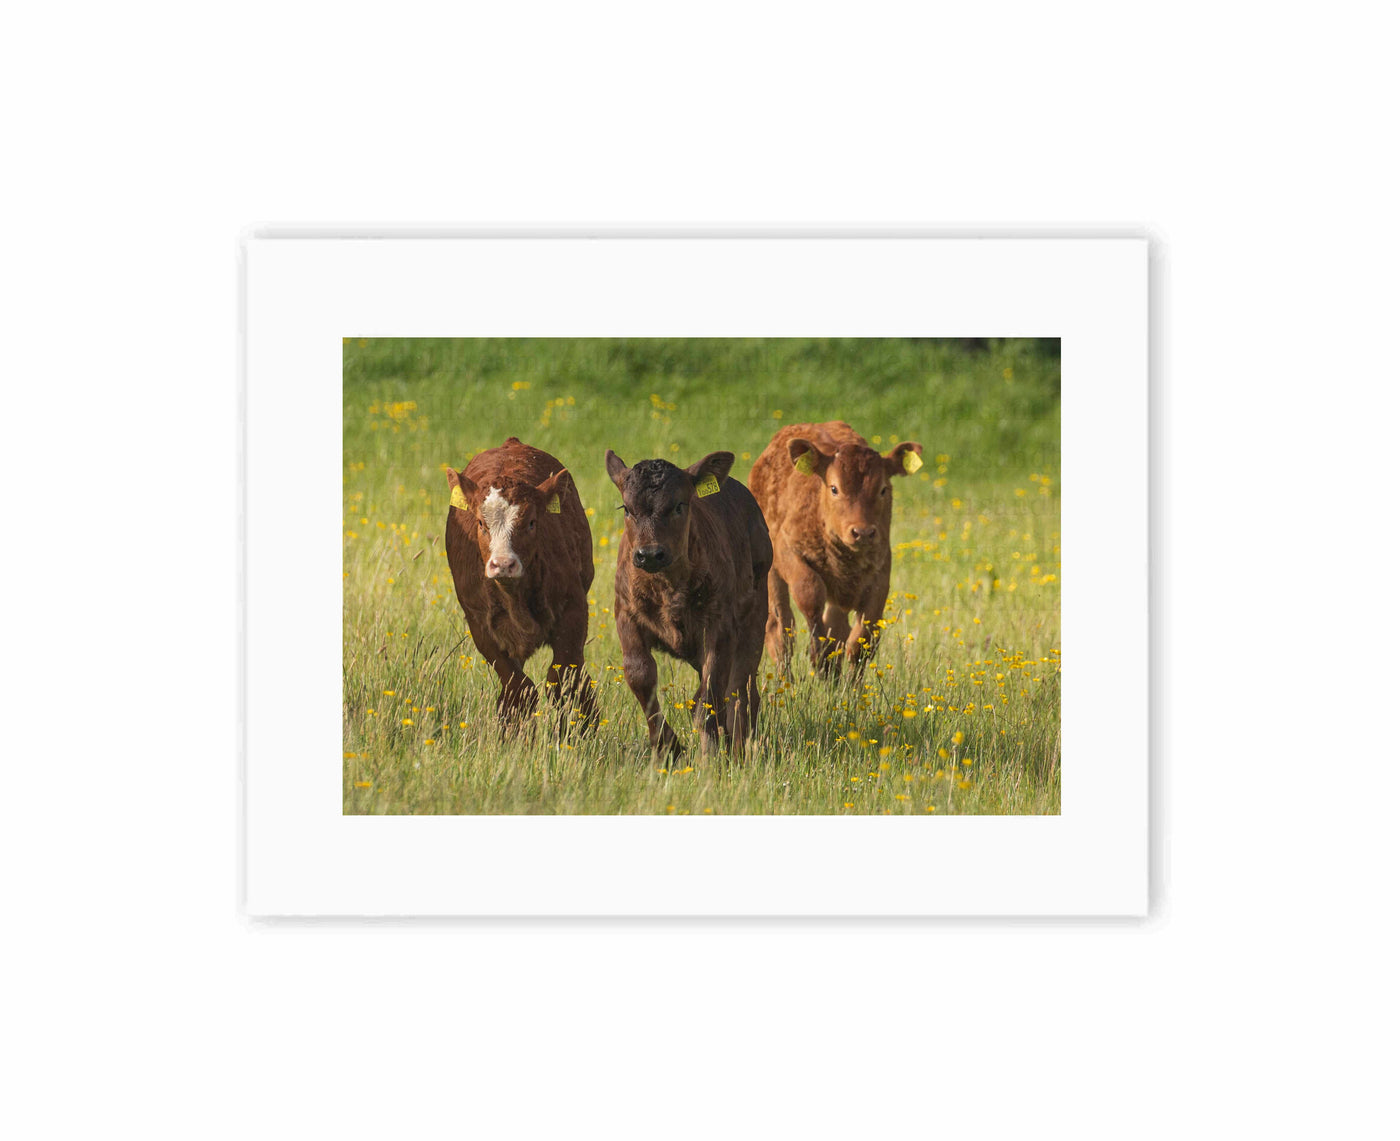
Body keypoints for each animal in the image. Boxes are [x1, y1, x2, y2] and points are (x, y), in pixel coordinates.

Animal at [444, 436, 598, 735]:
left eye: (531, 523)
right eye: (481, 523)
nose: (503, 564)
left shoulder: (573, 608)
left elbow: (563, 676)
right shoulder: (479, 623)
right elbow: (518, 687)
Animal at [605, 449, 773, 761]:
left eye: (679, 505)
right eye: (626, 509)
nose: (650, 554)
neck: (668, 587)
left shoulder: (719, 626)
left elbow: (712, 689)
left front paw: (710, 755)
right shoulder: (626, 615)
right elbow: (640, 675)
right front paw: (668, 747)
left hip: (756, 615)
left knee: (741, 688)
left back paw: (740, 747)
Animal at [748, 422, 923, 680]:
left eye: (883, 489)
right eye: (834, 488)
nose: (862, 532)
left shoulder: (880, 575)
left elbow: (860, 639)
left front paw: (849, 685)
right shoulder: (788, 552)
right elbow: (810, 595)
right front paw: (819, 658)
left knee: (836, 625)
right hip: (770, 572)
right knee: (779, 628)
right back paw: (785, 682)